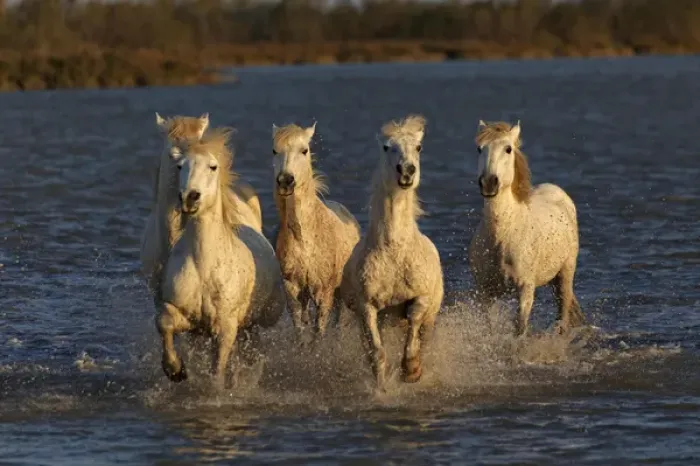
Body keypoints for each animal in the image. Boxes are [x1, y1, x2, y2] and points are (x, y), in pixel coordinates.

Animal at [157, 127, 286, 386]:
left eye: (212, 166)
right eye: (180, 166)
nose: (190, 197)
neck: (203, 265)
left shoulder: (226, 327)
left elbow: (218, 369)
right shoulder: (187, 318)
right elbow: (164, 323)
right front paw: (175, 370)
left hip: (257, 321)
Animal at [270, 122, 361, 340]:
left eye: (304, 150)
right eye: (274, 151)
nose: (285, 181)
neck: (305, 238)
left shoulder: (324, 291)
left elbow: (319, 331)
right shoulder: (292, 288)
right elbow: (300, 328)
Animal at [341, 114, 444, 390]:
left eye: (418, 147)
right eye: (387, 147)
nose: (406, 171)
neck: (394, 250)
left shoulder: (420, 298)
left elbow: (413, 333)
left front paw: (411, 371)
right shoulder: (367, 307)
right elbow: (377, 353)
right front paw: (382, 389)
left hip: (430, 316)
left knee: (423, 338)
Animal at [469, 120, 585, 337]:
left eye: (508, 149)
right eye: (479, 149)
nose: (488, 183)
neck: (502, 237)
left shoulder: (525, 289)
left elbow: (520, 328)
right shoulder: (486, 292)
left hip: (565, 273)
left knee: (563, 314)